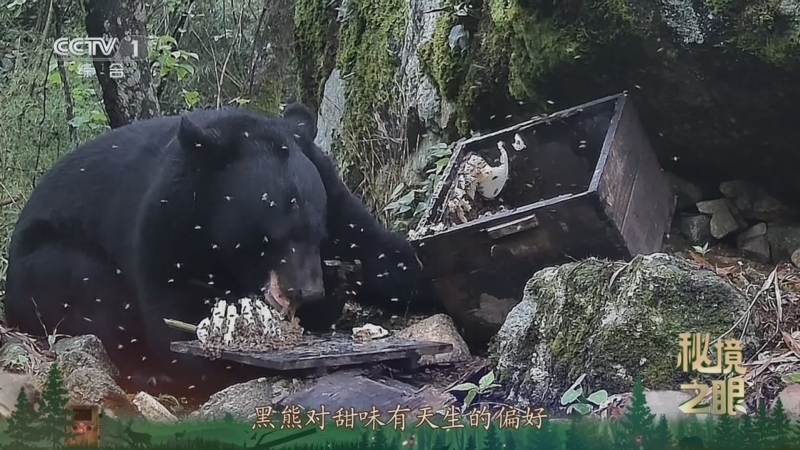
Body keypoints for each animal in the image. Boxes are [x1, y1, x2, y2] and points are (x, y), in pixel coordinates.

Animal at [4, 107, 329, 394]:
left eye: (317, 233)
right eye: (274, 237)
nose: (309, 291)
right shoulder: (168, 219)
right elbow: (170, 305)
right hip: (44, 263)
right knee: (97, 290)